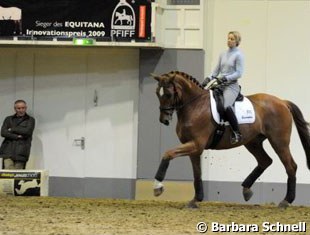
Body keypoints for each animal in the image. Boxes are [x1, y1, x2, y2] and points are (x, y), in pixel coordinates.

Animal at [151, 70, 310, 208]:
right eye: (157, 94)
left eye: (168, 94)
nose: (164, 120)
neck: (194, 106)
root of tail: (282, 102)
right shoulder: (194, 148)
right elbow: (197, 174)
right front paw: (196, 200)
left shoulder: (196, 144)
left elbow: (168, 153)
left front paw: (158, 187)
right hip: (253, 142)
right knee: (265, 161)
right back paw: (246, 189)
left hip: (279, 142)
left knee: (291, 166)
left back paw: (286, 201)